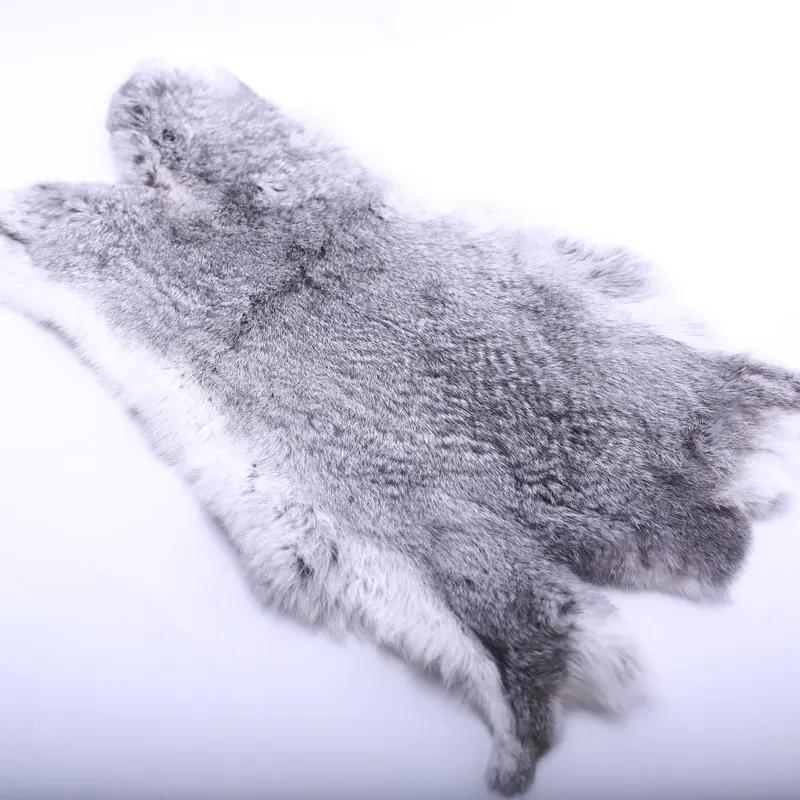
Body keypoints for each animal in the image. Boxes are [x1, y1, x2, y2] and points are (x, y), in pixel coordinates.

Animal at [0, 61, 797, 796]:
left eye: (151, 114)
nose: (135, 78)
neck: (230, 219)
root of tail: (661, 504)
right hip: (460, 542)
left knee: (541, 638)